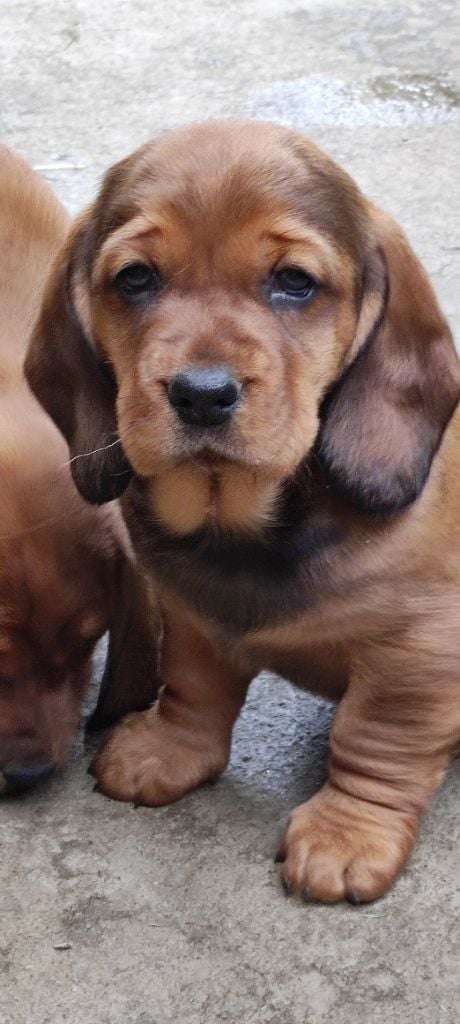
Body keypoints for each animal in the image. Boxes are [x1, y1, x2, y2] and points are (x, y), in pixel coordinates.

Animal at [25, 121, 458, 905]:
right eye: (136, 278)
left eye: (295, 282)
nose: (201, 394)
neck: (240, 521)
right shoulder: (192, 613)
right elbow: (193, 687)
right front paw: (168, 749)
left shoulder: (419, 652)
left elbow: (376, 740)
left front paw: (349, 831)